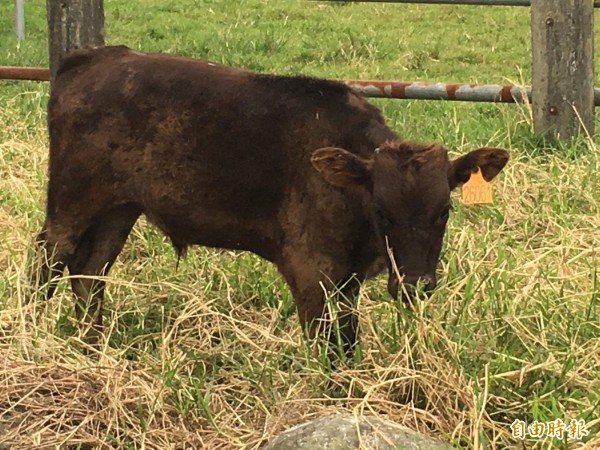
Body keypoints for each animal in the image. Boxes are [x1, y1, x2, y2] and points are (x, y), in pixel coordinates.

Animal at [35, 46, 508, 356]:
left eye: (444, 210)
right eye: (381, 211)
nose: (415, 286)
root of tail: (97, 57)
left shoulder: (346, 281)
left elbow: (348, 340)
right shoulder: (310, 271)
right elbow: (328, 348)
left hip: (119, 209)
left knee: (90, 272)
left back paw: (93, 345)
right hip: (71, 201)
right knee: (49, 259)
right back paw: (37, 334)